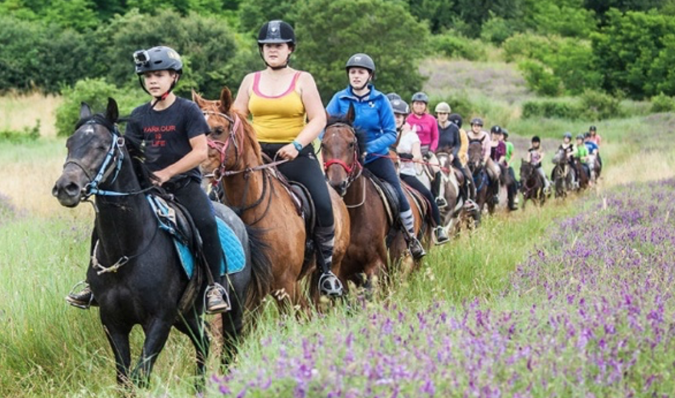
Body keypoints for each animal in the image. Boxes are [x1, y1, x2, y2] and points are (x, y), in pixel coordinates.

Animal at [50, 98, 272, 388]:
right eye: (70, 143)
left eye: (102, 146)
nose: (66, 188)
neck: (130, 248)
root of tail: (237, 218)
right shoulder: (113, 322)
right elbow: (124, 378)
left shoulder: (159, 321)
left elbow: (140, 375)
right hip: (187, 314)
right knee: (203, 343)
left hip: (232, 304)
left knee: (229, 346)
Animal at [190, 88, 348, 310]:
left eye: (218, 130)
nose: (197, 172)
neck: (250, 208)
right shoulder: (251, 292)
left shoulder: (285, 285)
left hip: (332, 265)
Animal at [322, 110, 428, 290]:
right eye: (323, 144)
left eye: (351, 144)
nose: (337, 184)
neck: (353, 213)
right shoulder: (341, 272)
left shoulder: (376, 264)